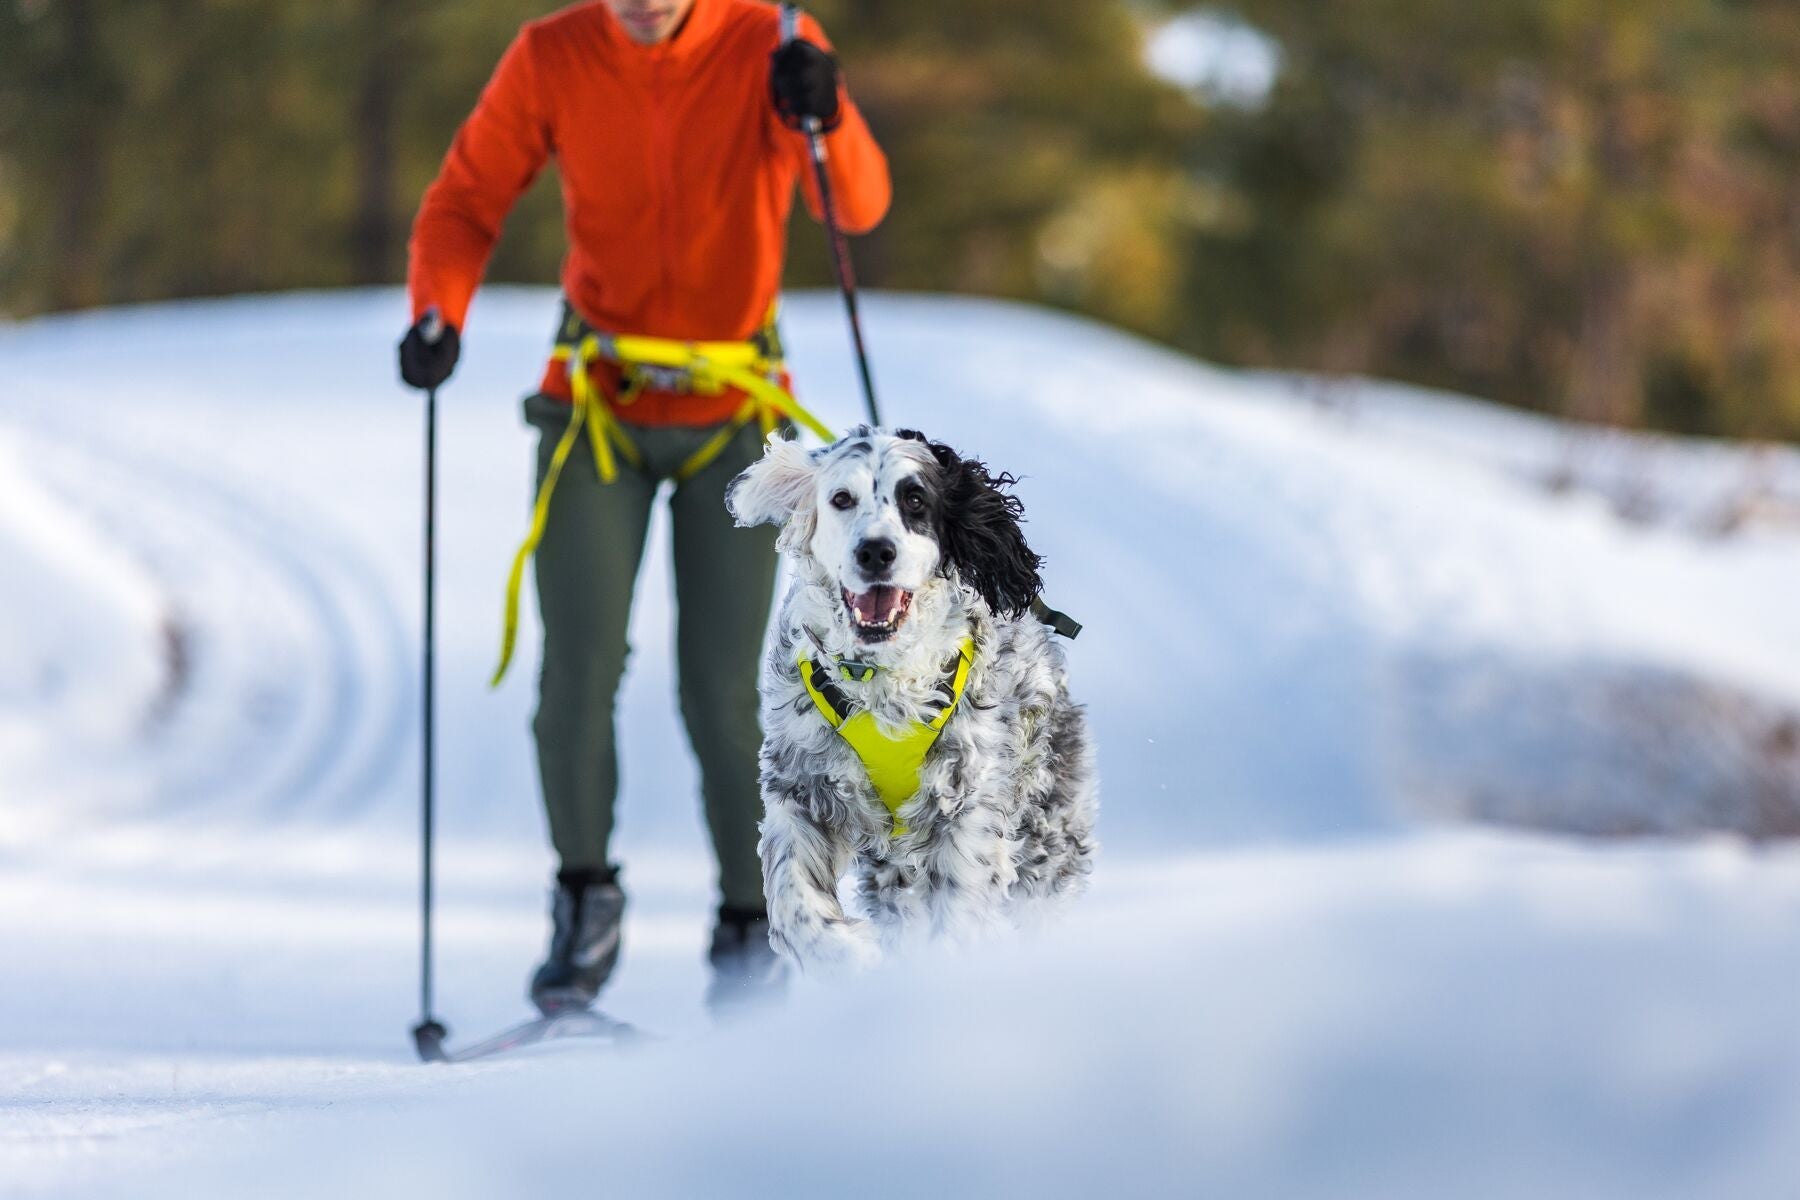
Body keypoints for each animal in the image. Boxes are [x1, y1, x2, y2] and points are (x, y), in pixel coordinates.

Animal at [720, 426, 1087, 971]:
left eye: (915, 499)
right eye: (842, 499)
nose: (876, 551)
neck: (882, 687)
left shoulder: (965, 807)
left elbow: (957, 908)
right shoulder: (804, 787)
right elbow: (796, 904)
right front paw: (851, 952)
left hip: (1048, 835)